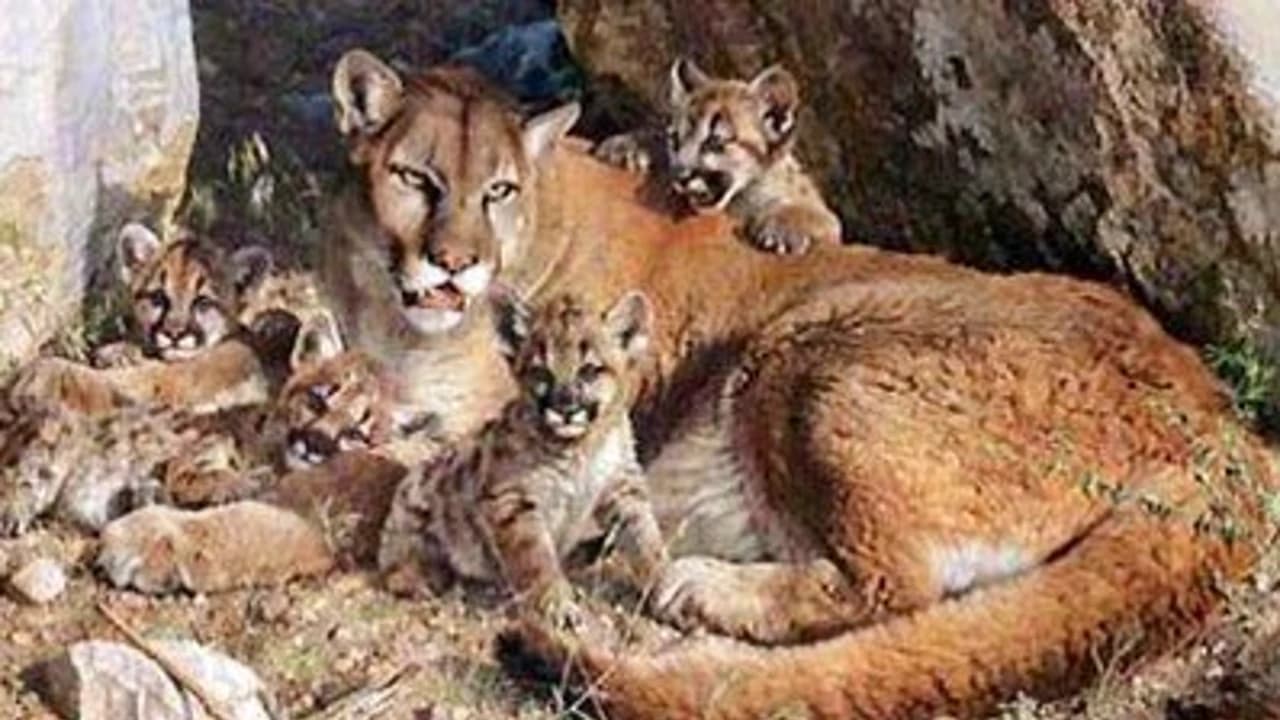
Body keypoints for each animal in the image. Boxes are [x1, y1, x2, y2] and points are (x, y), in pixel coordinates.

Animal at [102, 47, 1280, 712]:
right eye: (416, 179)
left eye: (497, 191)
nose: (455, 264)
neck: (394, 317)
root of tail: (1221, 422)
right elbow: (245, 391)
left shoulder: (455, 447)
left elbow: (320, 491)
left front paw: (163, 533)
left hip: (807, 356)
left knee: (889, 587)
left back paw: (695, 582)